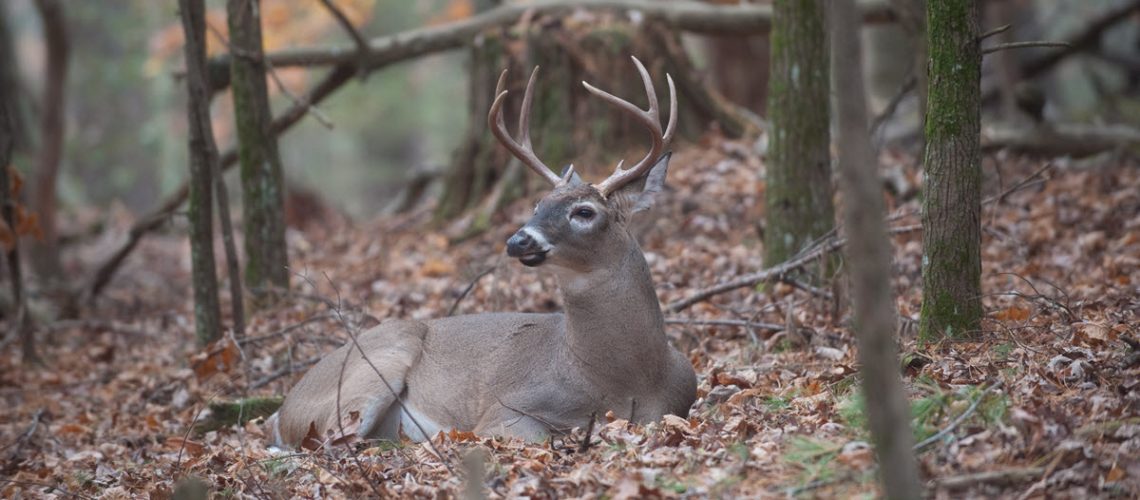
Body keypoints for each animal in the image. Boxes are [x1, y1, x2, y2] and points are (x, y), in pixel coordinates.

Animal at [269, 56, 697, 448]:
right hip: (374, 366)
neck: (624, 380)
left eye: (585, 212)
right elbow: (534, 435)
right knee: (330, 442)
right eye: (537, 204)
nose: (519, 240)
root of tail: (284, 407)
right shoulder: (505, 406)